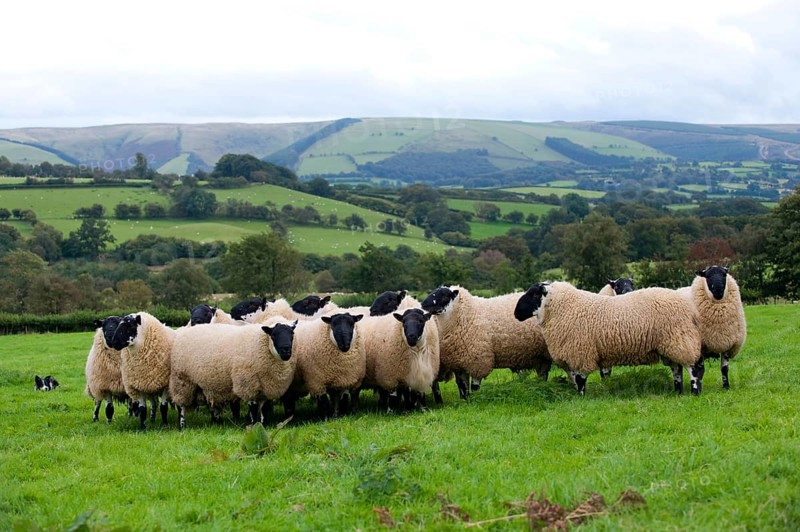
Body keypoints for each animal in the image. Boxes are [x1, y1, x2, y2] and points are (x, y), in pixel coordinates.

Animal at [169, 319, 297, 429]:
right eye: (274, 335)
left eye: (292, 333)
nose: (286, 350)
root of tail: (183, 332)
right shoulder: (247, 384)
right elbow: (253, 408)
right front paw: (254, 426)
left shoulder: (266, 387)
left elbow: (264, 409)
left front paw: (263, 425)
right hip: (182, 379)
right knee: (180, 406)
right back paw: (182, 426)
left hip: (207, 383)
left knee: (212, 405)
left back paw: (217, 423)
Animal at [421, 285, 552, 403]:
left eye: (444, 296)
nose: (423, 306)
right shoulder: (459, 363)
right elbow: (462, 386)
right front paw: (465, 401)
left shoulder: (478, 360)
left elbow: (474, 386)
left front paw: (475, 400)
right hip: (541, 356)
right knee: (543, 374)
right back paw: (541, 386)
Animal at [514, 281, 704, 395]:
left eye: (533, 294)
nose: (516, 313)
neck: (564, 308)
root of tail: (690, 308)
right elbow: (578, 378)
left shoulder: (581, 353)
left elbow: (580, 379)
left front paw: (580, 397)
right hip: (670, 344)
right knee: (677, 368)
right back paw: (677, 391)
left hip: (679, 338)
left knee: (693, 367)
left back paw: (694, 391)